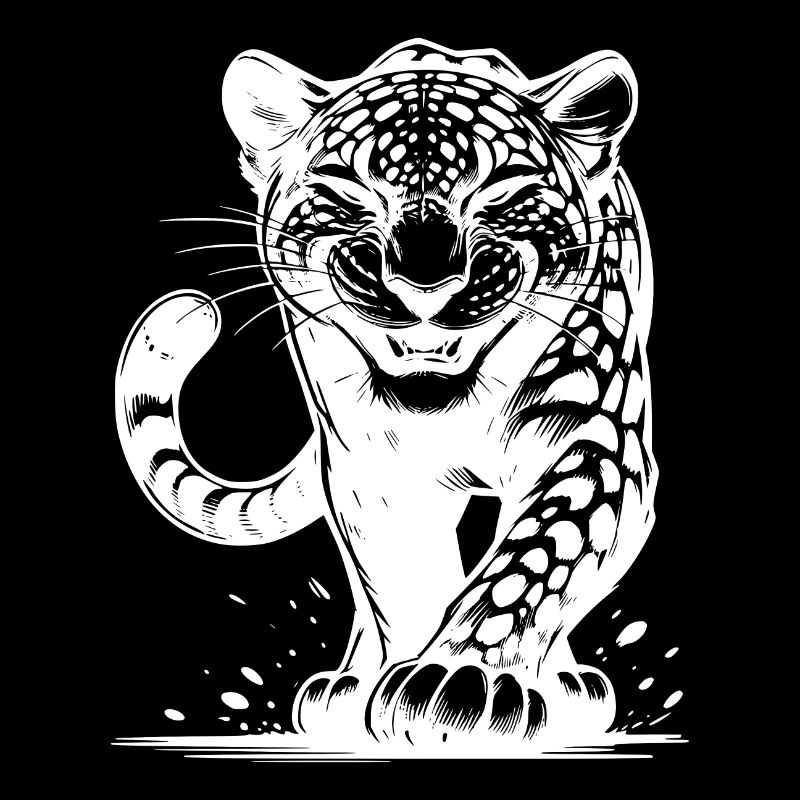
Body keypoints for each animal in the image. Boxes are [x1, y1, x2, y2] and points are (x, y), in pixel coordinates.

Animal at [116, 39, 656, 749]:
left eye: (500, 192)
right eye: (351, 193)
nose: (423, 286)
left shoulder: (597, 446)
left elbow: (536, 555)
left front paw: (463, 682)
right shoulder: (372, 472)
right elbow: (401, 580)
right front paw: (400, 690)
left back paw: (568, 689)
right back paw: (342, 690)